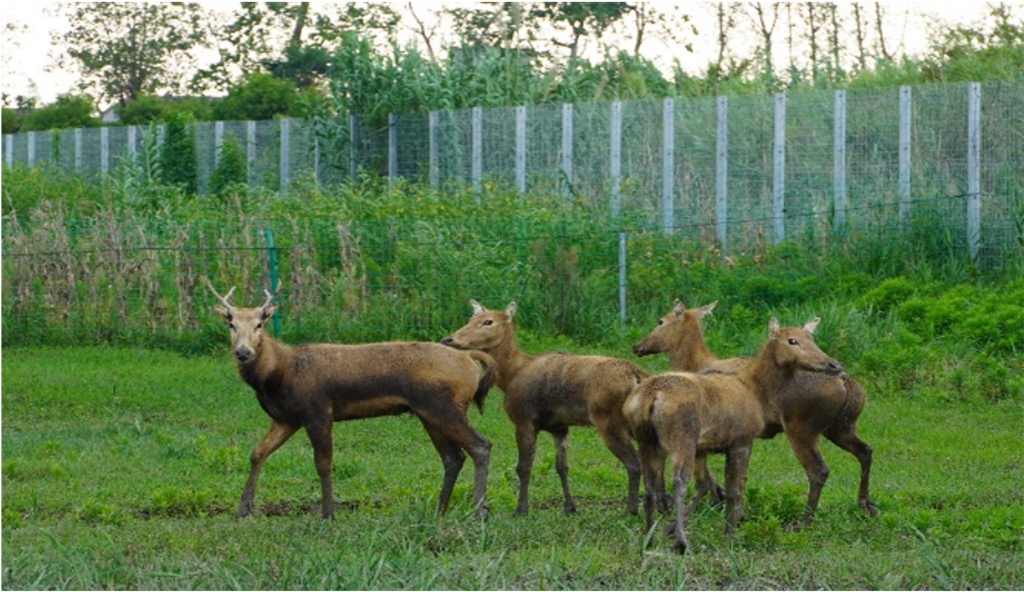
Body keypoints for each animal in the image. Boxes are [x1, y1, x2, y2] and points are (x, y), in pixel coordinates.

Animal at [207, 279, 495, 519]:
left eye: (259, 324)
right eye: (231, 324)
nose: (243, 352)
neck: (280, 374)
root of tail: (471, 359)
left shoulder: (318, 411)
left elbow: (323, 464)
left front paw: (328, 514)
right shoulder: (286, 419)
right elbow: (257, 453)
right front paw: (242, 510)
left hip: (444, 406)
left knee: (480, 445)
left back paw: (478, 511)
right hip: (428, 412)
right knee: (453, 457)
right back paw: (440, 509)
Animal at [441, 300, 649, 516]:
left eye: (488, 321)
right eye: (471, 318)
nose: (447, 339)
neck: (511, 376)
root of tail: (637, 375)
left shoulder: (524, 419)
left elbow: (523, 467)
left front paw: (521, 509)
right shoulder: (559, 427)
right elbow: (562, 467)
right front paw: (570, 507)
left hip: (608, 419)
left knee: (634, 463)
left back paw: (631, 510)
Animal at [633, 299, 877, 528]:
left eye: (660, 321)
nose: (637, 346)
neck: (693, 363)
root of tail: (848, 385)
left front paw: (717, 499)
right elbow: (741, 476)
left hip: (801, 428)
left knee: (818, 470)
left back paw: (803, 521)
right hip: (840, 427)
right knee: (865, 450)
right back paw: (866, 504)